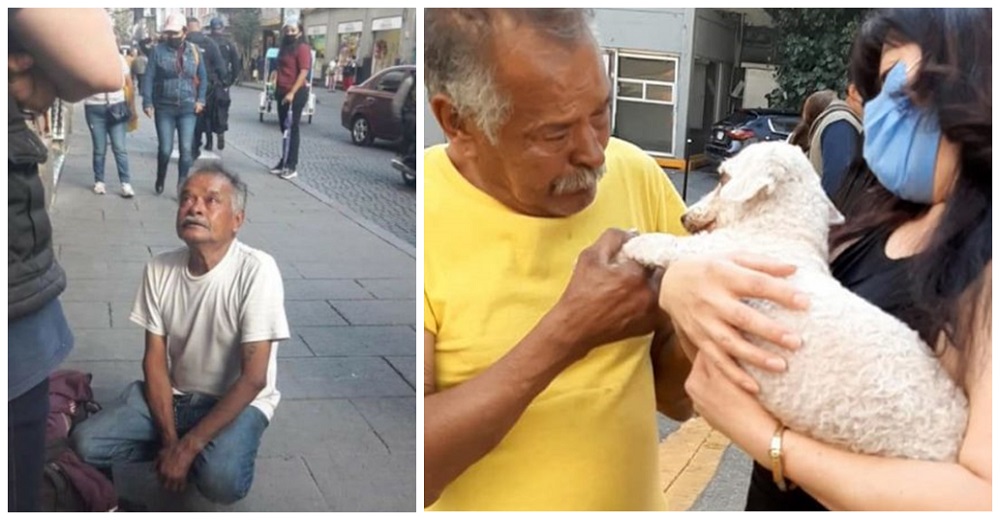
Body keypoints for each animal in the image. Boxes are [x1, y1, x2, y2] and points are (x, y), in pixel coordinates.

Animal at [624, 140, 968, 462]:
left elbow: (678, 247)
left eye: (722, 177)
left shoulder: (719, 257)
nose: (684, 217)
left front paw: (638, 244)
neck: (778, 233)